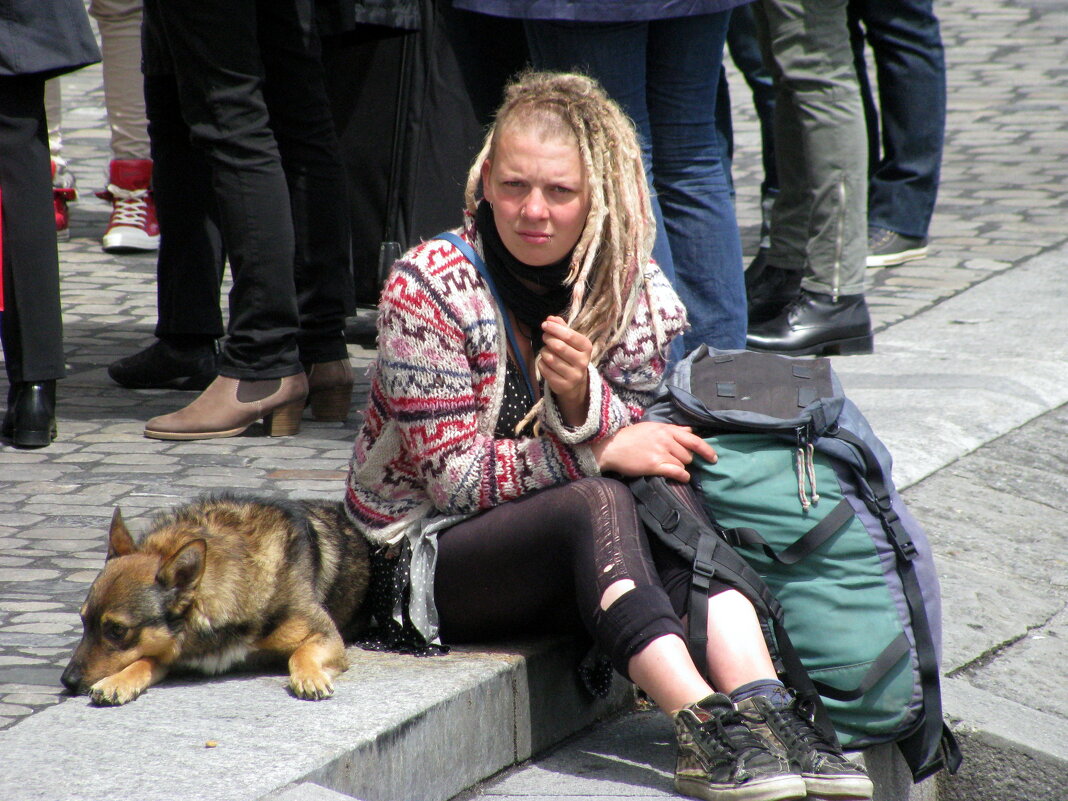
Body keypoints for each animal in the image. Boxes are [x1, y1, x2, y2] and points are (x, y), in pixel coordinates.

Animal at [62, 495, 373, 709]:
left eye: (117, 630)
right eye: (83, 621)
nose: (67, 681)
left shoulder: (327, 636)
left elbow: (301, 654)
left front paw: (310, 677)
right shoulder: (172, 652)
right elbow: (144, 660)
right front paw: (117, 682)